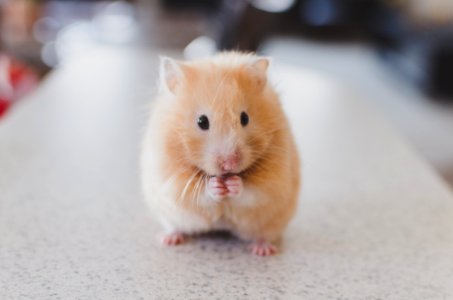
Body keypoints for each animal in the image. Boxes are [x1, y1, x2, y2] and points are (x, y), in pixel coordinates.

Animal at [139, 51, 298, 255]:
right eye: (202, 121)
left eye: (245, 118)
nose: (229, 164)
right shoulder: (172, 180)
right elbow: (198, 193)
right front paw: (216, 186)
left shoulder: (273, 182)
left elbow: (252, 191)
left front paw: (233, 184)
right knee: (175, 227)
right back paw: (169, 239)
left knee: (264, 235)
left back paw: (262, 250)